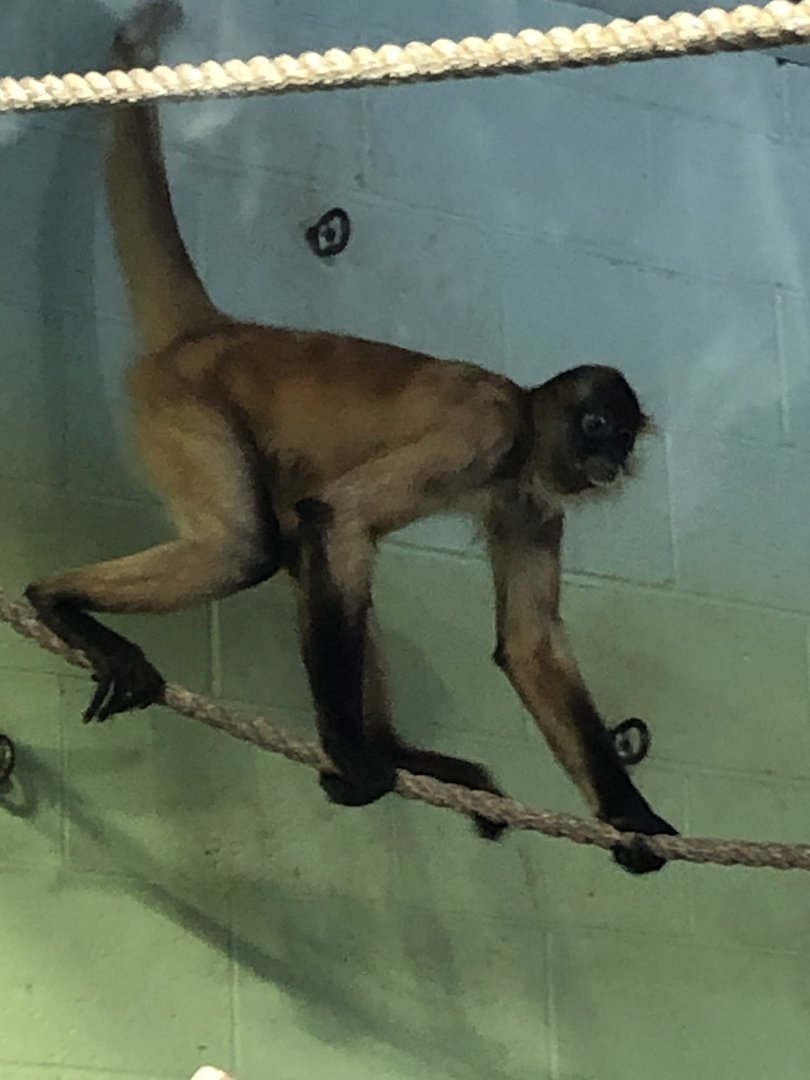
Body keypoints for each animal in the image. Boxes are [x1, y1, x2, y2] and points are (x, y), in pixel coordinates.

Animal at [25, 0, 678, 874]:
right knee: (255, 545)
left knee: (299, 553)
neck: (522, 428)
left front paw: (632, 820)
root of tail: (220, 333)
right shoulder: (485, 431)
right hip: (181, 409)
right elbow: (340, 518)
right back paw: (57, 602)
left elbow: (529, 643)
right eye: (595, 424)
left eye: (621, 438)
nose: (607, 458)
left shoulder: (533, 499)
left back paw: (403, 753)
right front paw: (354, 760)